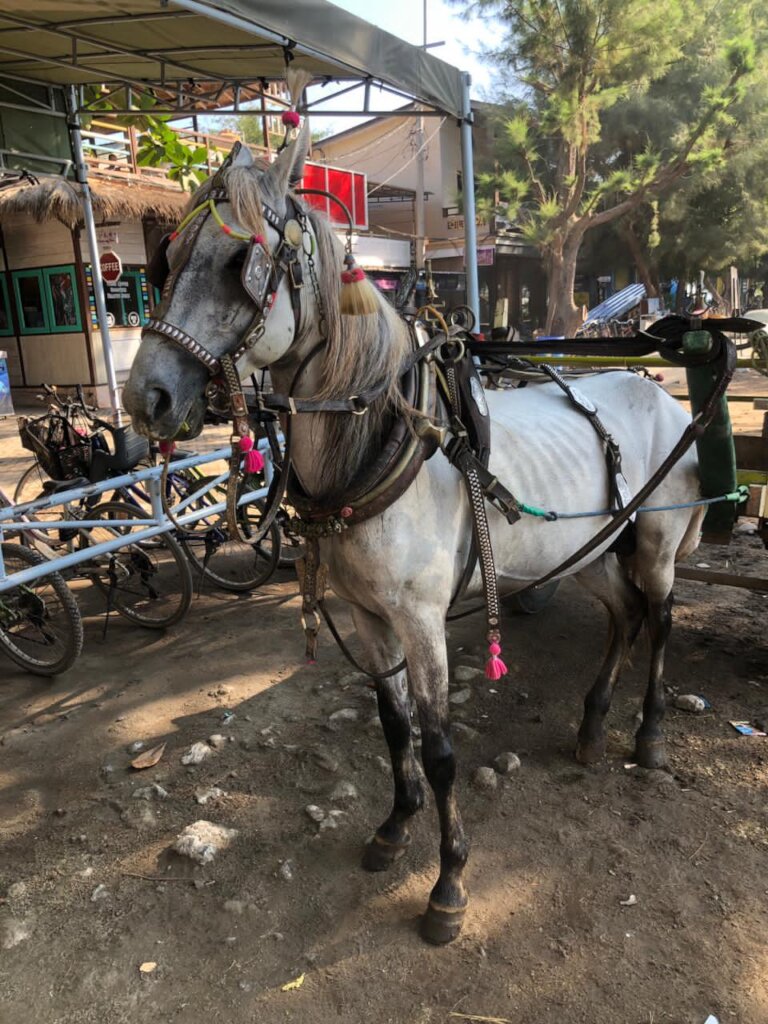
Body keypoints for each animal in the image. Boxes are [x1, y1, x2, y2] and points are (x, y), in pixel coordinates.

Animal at [123, 122, 703, 944]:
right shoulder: (368, 614)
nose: (147, 396)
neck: (383, 447)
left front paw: (449, 882)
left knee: (658, 619)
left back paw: (648, 735)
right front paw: (395, 827)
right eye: (166, 259)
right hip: (589, 550)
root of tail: (659, 392)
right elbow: (393, 726)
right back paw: (592, 726)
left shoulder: (423, 621)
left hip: (653, 545)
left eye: (241, 265)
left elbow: (439, 748)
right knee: (622, 616)